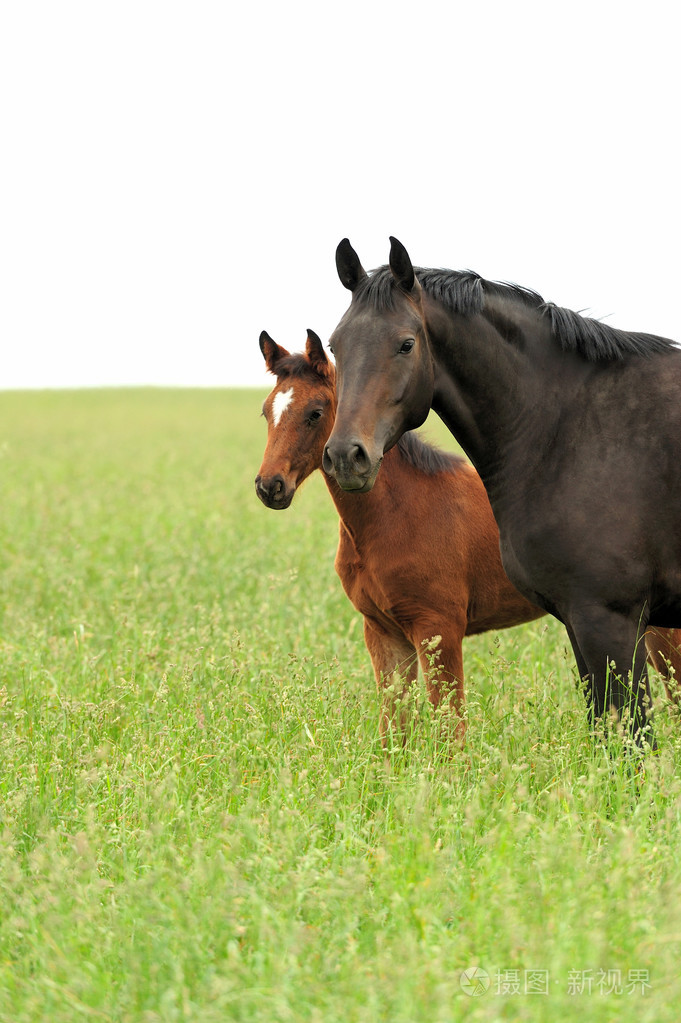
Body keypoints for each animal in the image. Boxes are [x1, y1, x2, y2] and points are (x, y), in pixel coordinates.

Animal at [322, 237, 681, 750]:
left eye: (406, 344)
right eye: (335, 345)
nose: (346, 456)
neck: (565, 429)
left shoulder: (610, 620)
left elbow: (632, 740)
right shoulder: (579, 622)